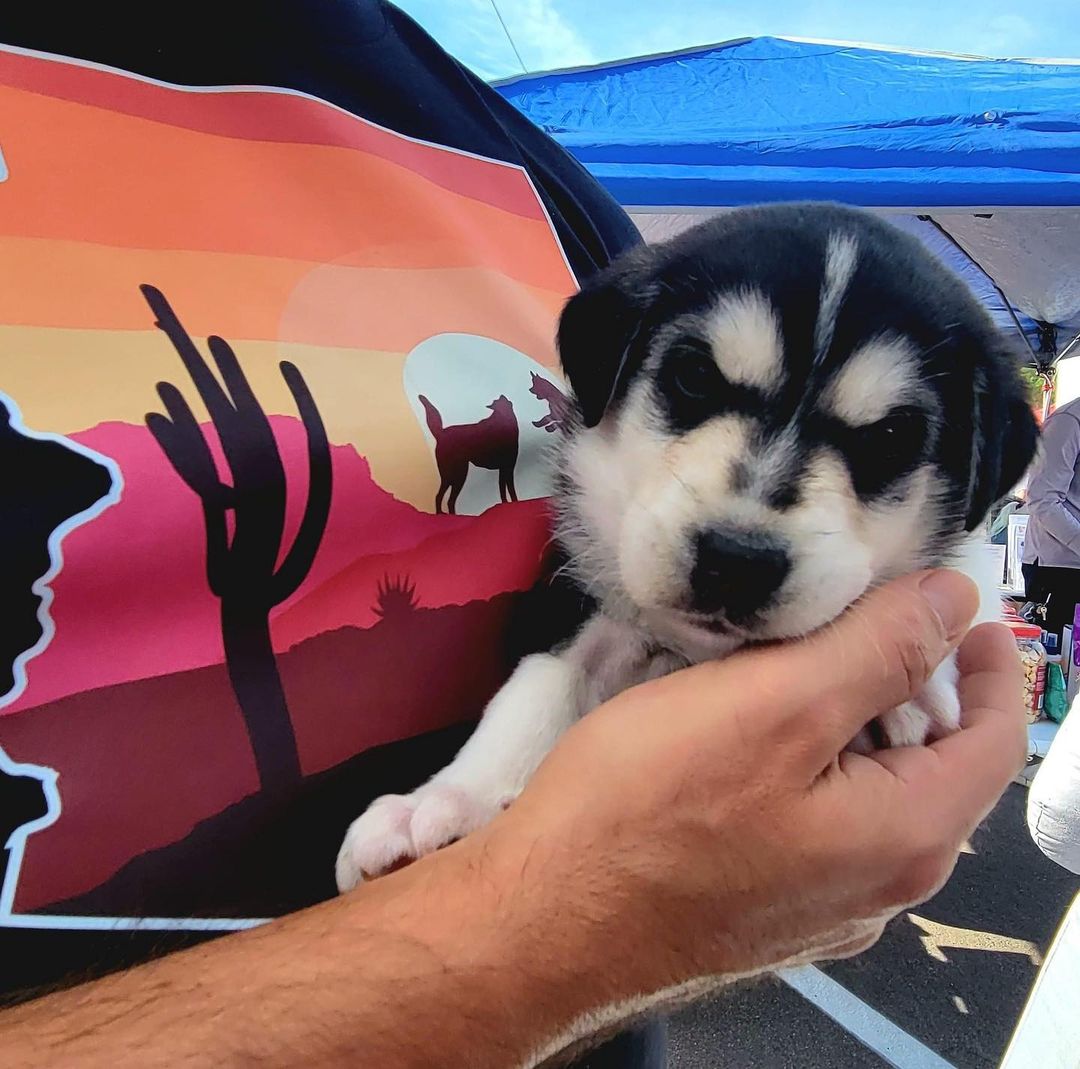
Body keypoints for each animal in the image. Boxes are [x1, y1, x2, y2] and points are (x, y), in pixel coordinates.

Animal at [334, 205, 1036, 889]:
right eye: (694, 375)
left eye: (891, 436)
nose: (737, 562)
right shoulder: (580, 590)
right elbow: (539, 682)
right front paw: (446, 801)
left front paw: (916, 693)